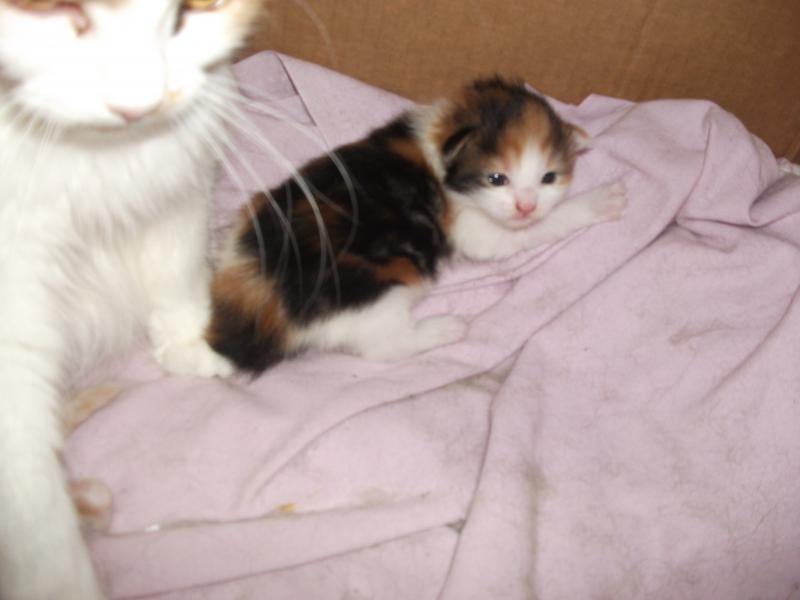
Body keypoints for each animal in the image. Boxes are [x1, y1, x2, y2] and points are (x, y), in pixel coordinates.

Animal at [0, 0, 261, 598]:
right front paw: (61, 575)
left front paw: (196, 348)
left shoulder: (178, 179)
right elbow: (30, 499)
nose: (139, 99)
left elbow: (177, 267)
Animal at [207, 77, 627, 373]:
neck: (441, 153)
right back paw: (443, 328)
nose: (526, 205)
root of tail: (260, 291)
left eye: (549, 178)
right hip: (377, 294)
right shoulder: (474, 227)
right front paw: (601, 201)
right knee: (384, 348)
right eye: (497, 179)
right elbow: (530, 230)